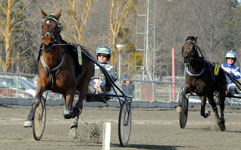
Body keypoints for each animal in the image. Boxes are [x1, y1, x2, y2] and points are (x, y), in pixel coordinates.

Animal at [24, 8, 94, 138]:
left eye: (56, 27)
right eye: (42, 25)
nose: (47, 43)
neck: (53, 64)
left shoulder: (70, 88)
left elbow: (67, 112)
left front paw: (72, 114)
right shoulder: (41, 82)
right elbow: (36, 100)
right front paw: (30, 120)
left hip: (85, 81)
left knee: (79, 104)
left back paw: (74, 126)